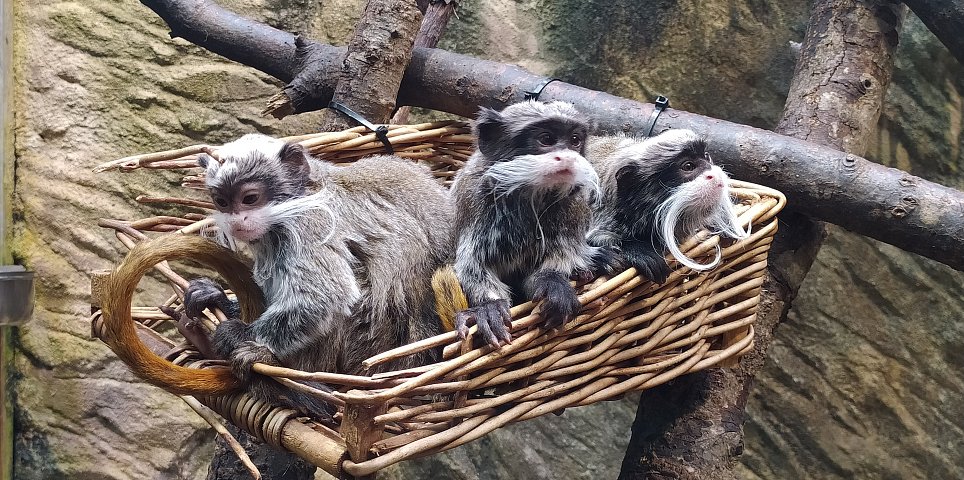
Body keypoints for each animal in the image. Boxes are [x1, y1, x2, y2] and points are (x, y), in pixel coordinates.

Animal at [179, 133, 454, 418]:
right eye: (222, 202)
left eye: (250, 198)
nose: (237, 222)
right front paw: (219, 300)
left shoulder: (309, 221)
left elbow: (327, 296)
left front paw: (239, 334)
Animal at [448, 101, 608, 348]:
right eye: (546, 139)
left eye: (575, 140)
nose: (568, 158)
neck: (531, 196)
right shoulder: (473, 198)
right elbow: (472, 265)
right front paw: (488, 307)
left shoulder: (574, 206)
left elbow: (560, 258)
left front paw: (551, 281)